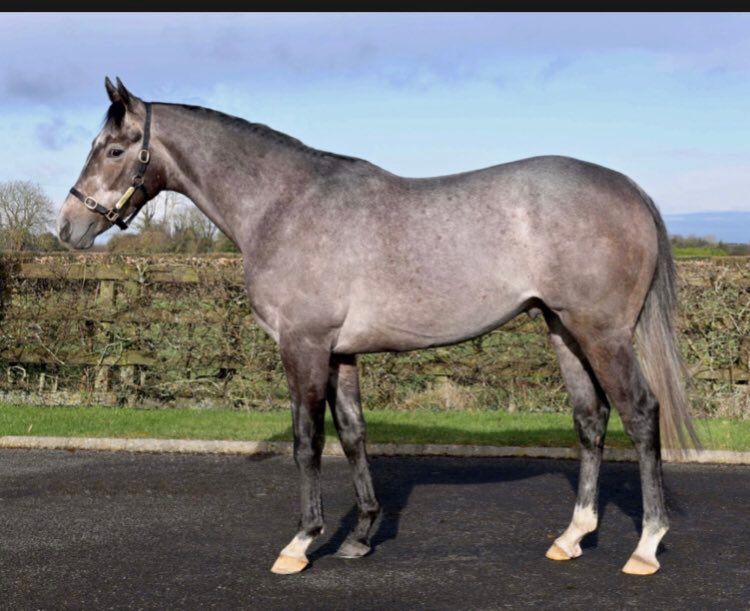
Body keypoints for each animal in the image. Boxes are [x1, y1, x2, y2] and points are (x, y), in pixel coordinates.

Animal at [57, 77, 698, 576]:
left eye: (114, 149)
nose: (67, 227)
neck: (283, 205)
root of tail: (630, 189)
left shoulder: (304, 346)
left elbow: (308, 441)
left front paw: (301, 542)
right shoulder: (340, 352)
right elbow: (353, 434)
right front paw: (362, 537)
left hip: (602, 332)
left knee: (641, 414)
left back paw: (646, 546)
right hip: (562, 329)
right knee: (591, 420)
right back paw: (571, 537)